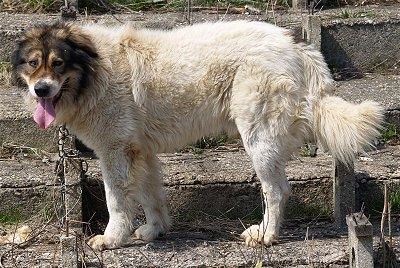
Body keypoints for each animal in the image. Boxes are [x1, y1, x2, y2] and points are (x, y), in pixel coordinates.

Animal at [10, 19, 382, 250]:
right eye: (33, 63)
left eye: (58, 63)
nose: (41, 90)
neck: (95, 70)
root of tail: (295, 45)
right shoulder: (140, 152)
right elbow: (150, 195)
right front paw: (155, 230)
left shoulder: (115, 152)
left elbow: (117, 202)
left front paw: (112, 239)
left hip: (258, 138)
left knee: (277, 190)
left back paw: (266, 235)